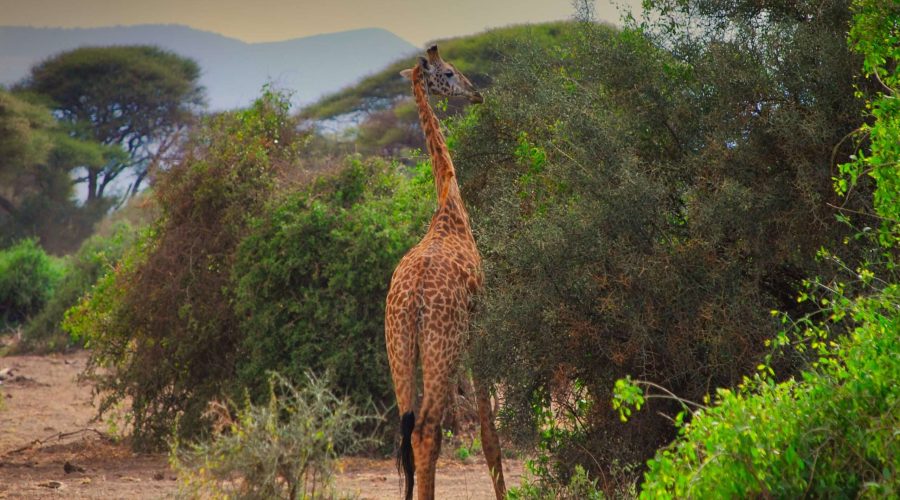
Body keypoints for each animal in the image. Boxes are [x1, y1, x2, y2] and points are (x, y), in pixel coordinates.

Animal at [384, 44, 502, 500]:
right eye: (448, 72)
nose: (476, 93)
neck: (449, 205)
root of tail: (413, 302)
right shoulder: (477, 329)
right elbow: (489, 433)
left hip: (398, 349)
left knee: (408, 434)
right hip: (441, 347)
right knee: (426, 433)